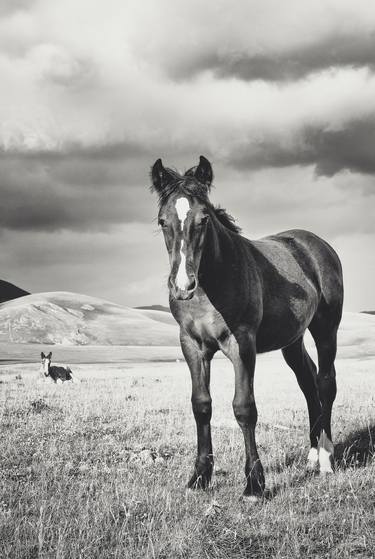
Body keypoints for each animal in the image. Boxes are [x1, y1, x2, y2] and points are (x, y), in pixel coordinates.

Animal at [151, 155, 346, 496]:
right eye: (163, 221)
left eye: (204, 219)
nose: (183, 285)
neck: (213, 282)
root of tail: (317, 244)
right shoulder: (192, 346)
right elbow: (201, 406)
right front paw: (200, 477)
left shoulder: (241, 344)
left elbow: (244, 408)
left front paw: (254, 484)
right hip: (292, 340)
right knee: (308, 383)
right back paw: (311, 456)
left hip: (326, 330)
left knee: (325, 383)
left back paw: (324, 458)